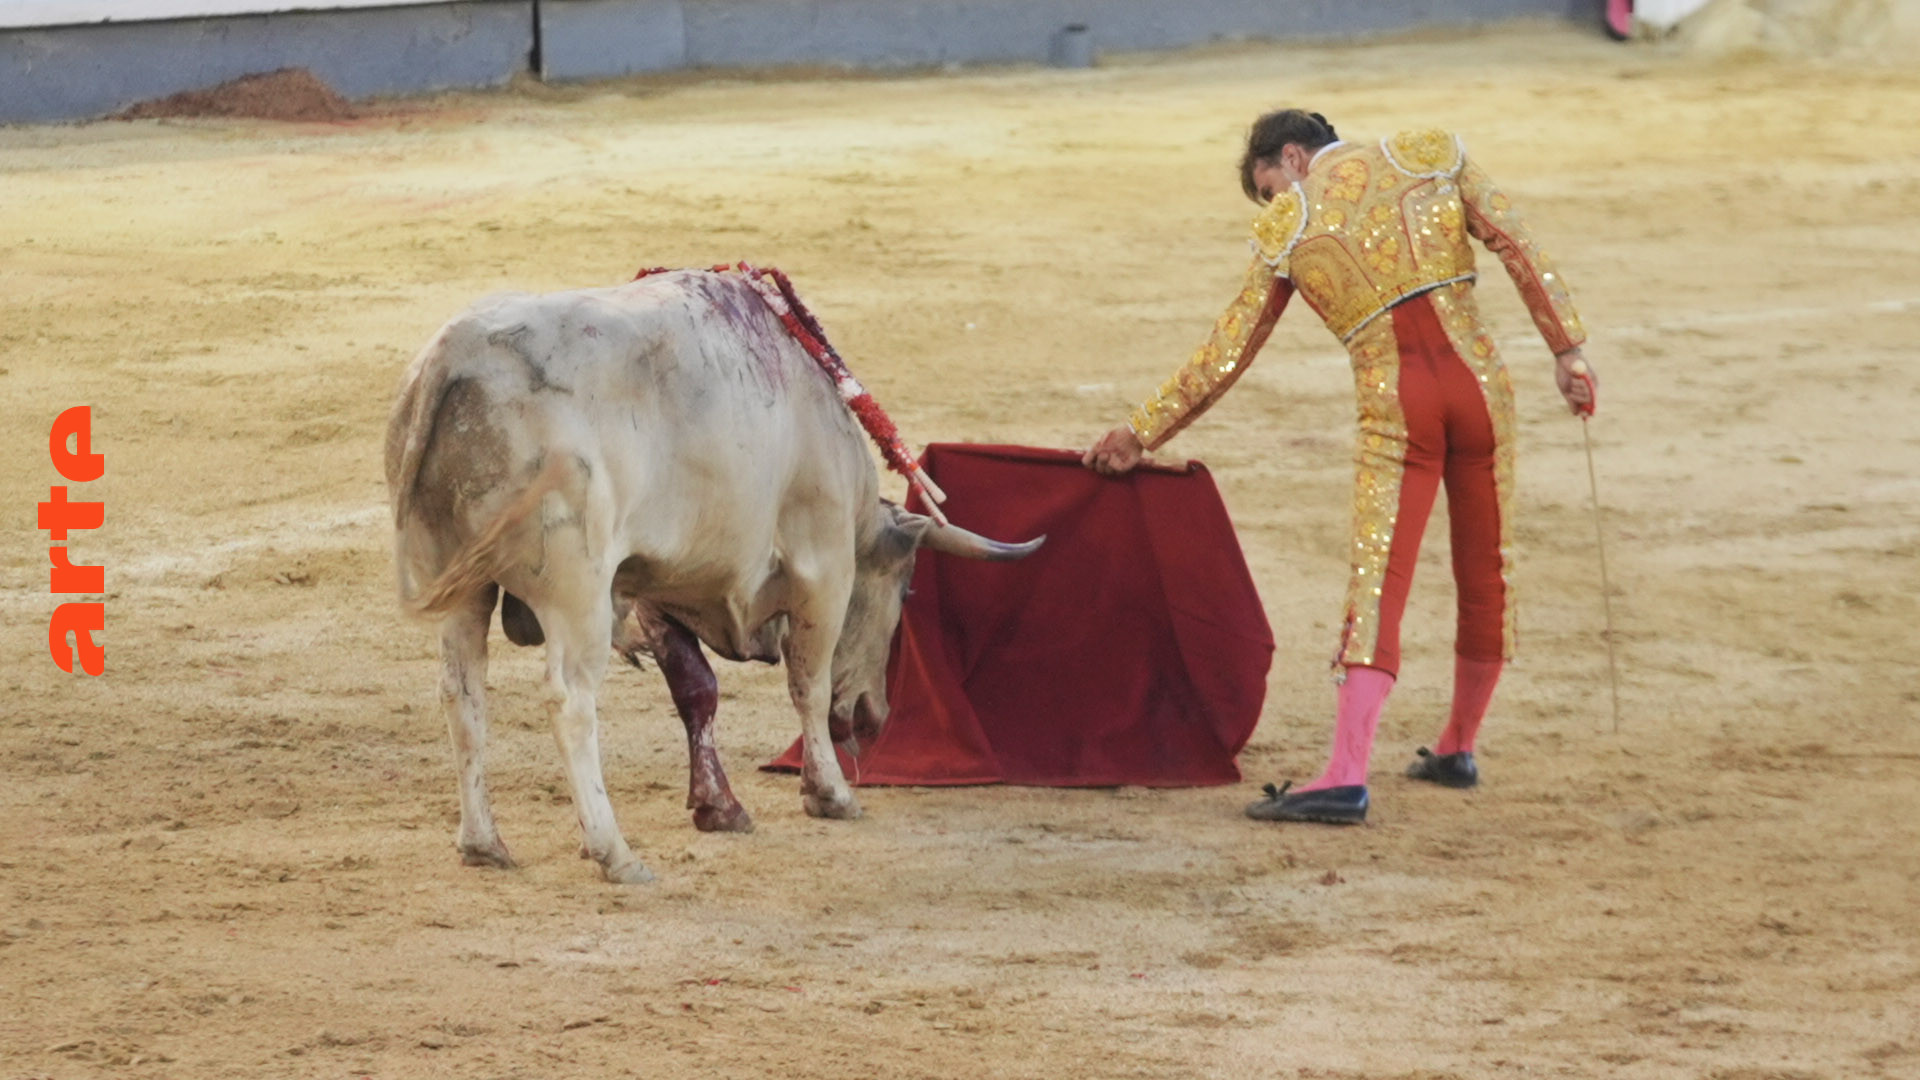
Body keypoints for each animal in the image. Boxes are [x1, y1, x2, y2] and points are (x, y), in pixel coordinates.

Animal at [385, 269, 1036, 883]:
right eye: (906, 589)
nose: (874, 716)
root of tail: (454, 354)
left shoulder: (654, 585)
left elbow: (696, 690)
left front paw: (719, 807)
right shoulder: (823, 570)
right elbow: (809, 682)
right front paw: (830, 793)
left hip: (465, 591)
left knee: (462, 694)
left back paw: (484, 844)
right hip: (576, 594)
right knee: (570, 700)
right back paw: (614, 851)